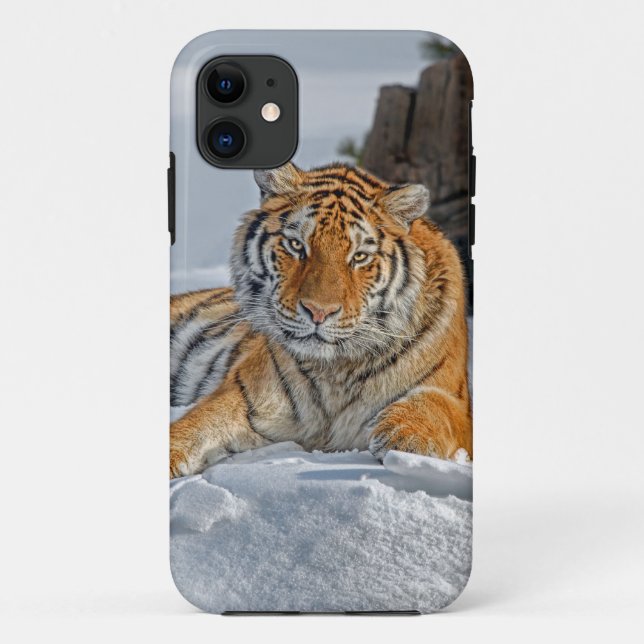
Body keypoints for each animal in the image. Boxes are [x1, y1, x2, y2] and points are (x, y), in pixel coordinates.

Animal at [170, 162, 472, 478]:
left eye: (359, 257)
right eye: (295, 245)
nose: (318, 312)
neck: (337, 371)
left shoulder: (457, 401)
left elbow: (436, 406)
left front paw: (403, 436)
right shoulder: (246, 395)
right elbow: (194, 428)